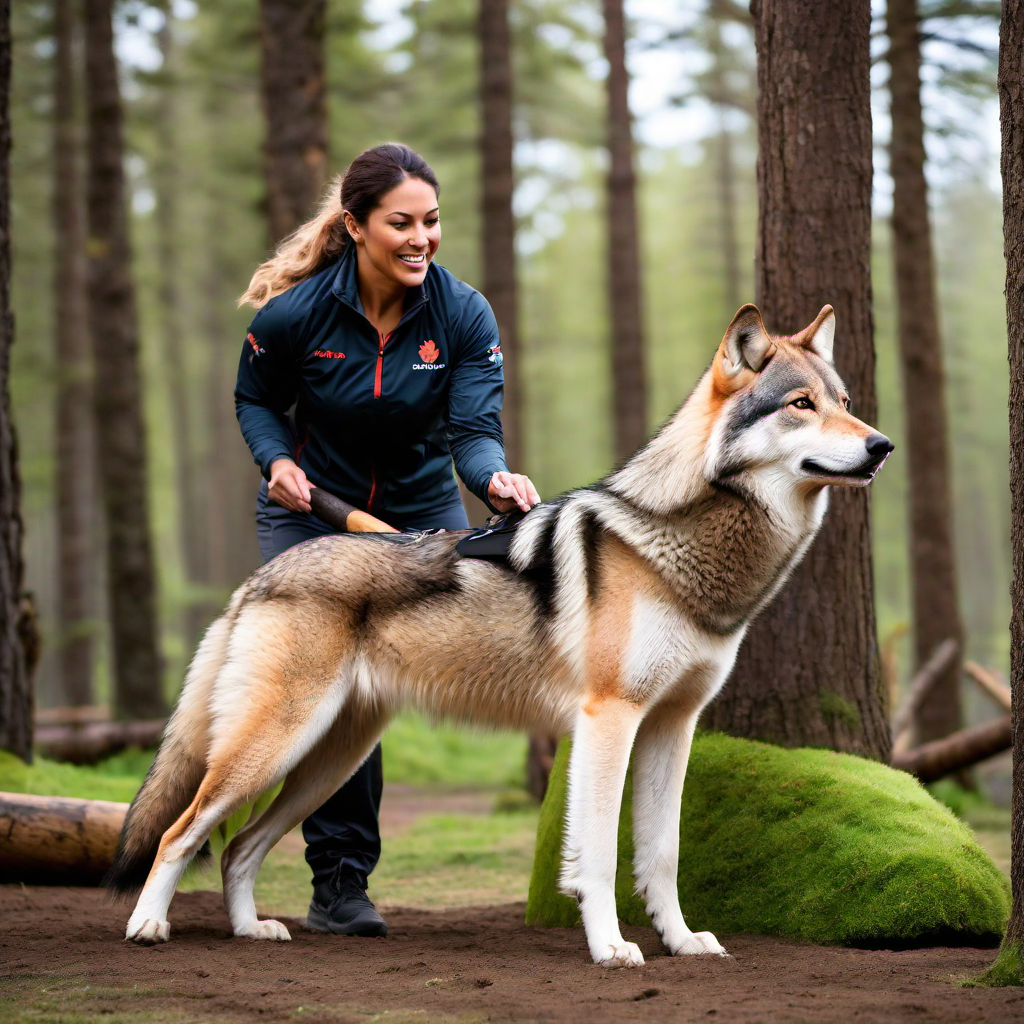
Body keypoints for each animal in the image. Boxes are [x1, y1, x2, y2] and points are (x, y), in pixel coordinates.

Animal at [101, 299, 888, 962]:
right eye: (801, 405)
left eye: (845, 404)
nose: (882, 445)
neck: (675, 543)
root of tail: (258, 577)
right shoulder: (608, 721)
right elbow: (598, 856)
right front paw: (612, 949)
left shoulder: (673, 724)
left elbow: (661, 855)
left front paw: (683, 941)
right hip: (276, 747)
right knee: (181, 831)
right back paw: (147, 926)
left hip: (327, 761)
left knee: (239, 847)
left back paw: (250, 930)